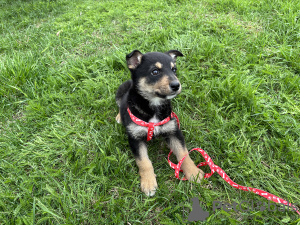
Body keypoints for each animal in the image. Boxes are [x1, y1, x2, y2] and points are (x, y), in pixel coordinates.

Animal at [115, 50, 204, 196]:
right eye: (155, 71)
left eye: (174, 69)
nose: (176, 85)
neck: (154, 106)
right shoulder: (135, 138)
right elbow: (144, 162)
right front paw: (148, 183)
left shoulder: (173, 131)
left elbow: (183, 154)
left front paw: (193, 172)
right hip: (120, 91)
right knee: (120, 103)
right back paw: (119, 117)